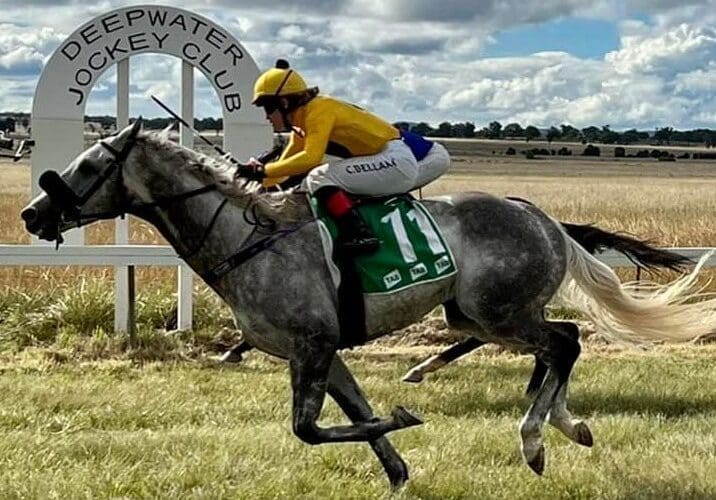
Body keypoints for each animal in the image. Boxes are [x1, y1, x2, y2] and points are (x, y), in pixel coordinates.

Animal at [21, 120, 716, 487]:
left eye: (85, 168)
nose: (31, 213)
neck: (247, 238)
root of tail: (538, 215)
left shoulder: (311, 344)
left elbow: (307, 428)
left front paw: (403, 418)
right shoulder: (322, 351)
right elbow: (352, 413)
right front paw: (400, 467)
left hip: (498, 310)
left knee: (563, 343)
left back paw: (535, 439)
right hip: (475, 313)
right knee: (560, 342)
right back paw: (567, 425)